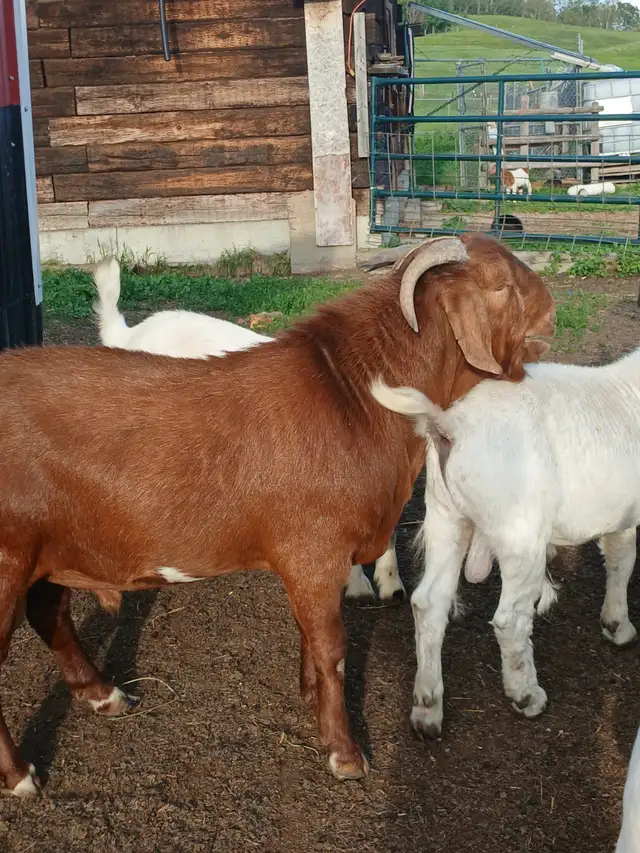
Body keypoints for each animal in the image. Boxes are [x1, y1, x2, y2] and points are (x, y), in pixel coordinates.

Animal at [372, 346, 640, 739]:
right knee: (510, 619)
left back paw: (427, 710)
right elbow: (624, 560)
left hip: (446, 514)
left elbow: (619, 556)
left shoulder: (620, 513)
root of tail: (451, 424)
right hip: (519, 531)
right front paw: (620, 627)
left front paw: (616, 623)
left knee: (428, 603)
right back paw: (526, 695)